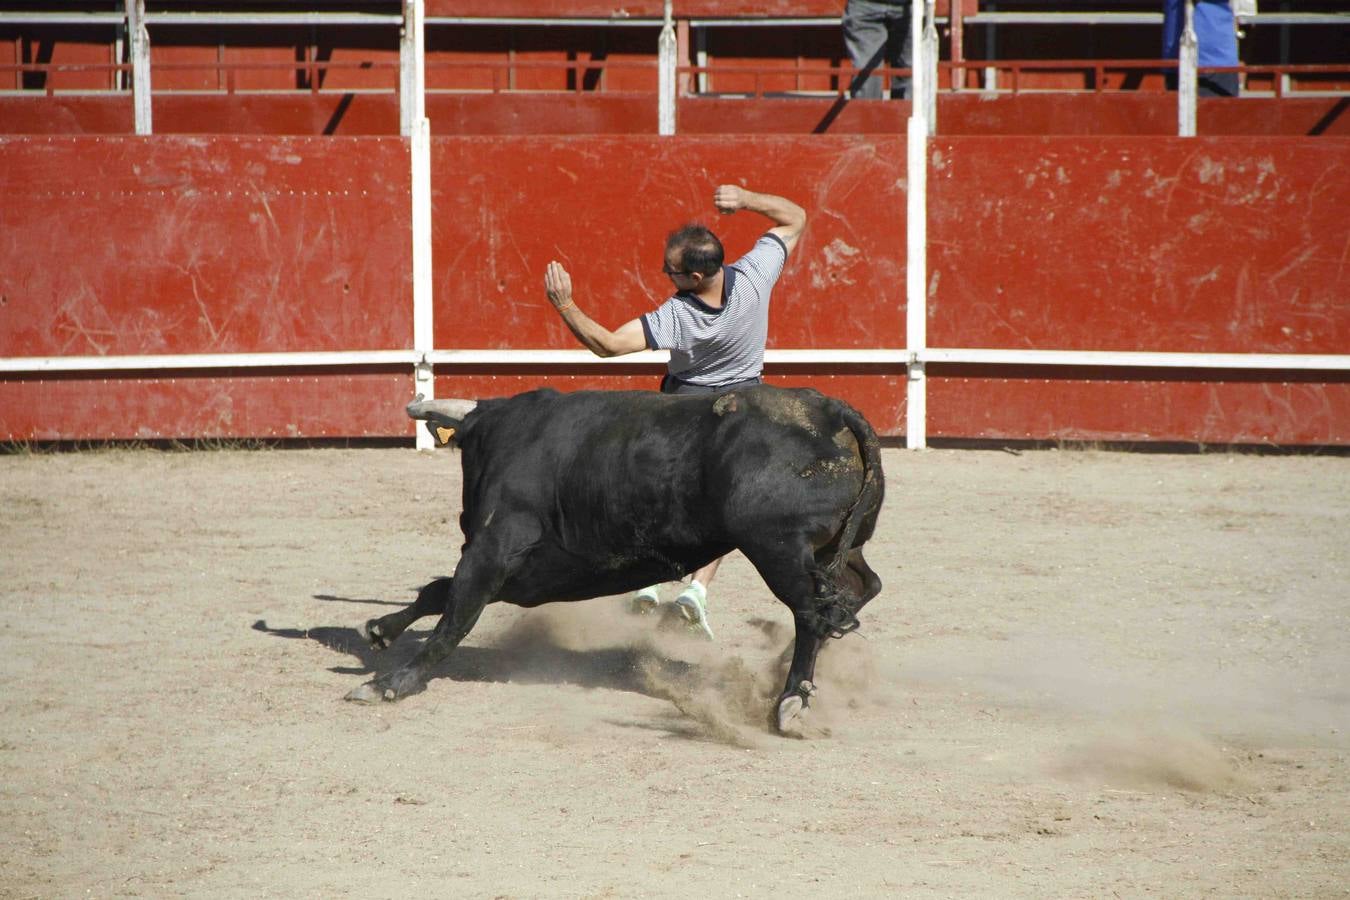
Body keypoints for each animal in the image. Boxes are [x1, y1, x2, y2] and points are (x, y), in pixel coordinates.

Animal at [345, 384, 884, 733]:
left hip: (777, 549)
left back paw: (790, 701)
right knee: (860, 589)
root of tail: (830, 409)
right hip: (835, 549)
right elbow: (438, 592)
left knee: (811, 615)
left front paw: (390, 683)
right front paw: (380, 629)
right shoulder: (523, 576)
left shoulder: (493, 552)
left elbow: (453, 616)